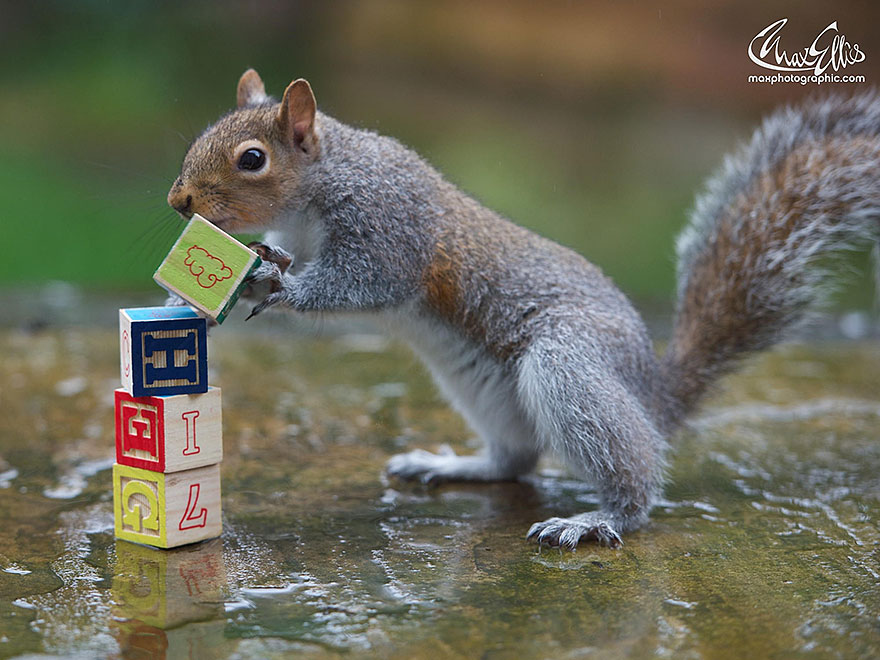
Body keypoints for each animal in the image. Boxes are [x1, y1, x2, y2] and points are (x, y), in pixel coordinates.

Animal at [167, 69, 880, 549]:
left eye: (252, 159)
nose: (178, 202)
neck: (321, 186)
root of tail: (654, 395)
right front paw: (214, 287)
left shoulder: (391, 226)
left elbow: (363, 283)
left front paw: (276, 287)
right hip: (482, 390)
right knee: (516, 461)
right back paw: (454, 465)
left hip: (568, 365)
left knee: (633, 475)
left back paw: (597, 519)